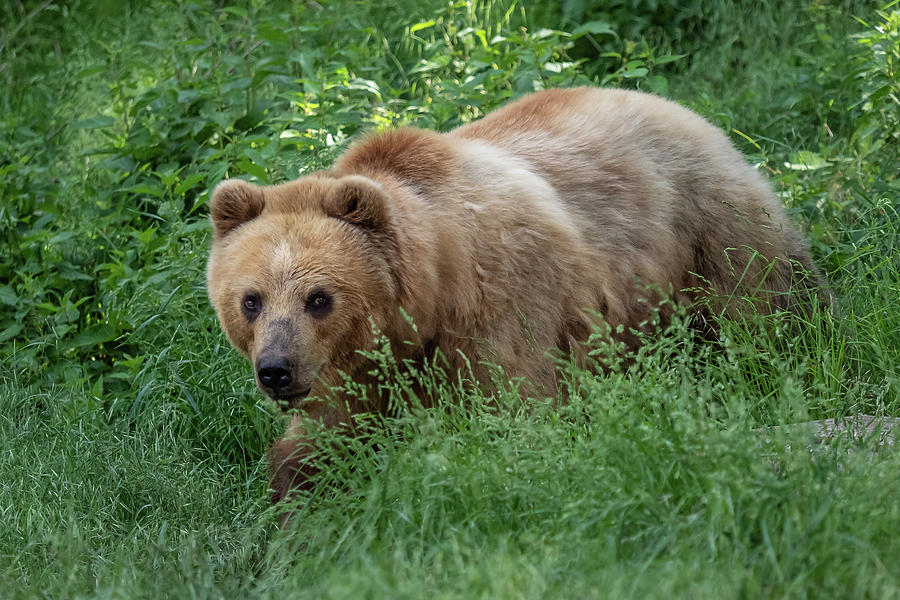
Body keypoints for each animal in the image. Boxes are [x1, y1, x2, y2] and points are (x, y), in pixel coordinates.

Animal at [206, 86, 824, 504]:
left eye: (319, 297)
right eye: (251, 299)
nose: (276, 369)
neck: (434, 291)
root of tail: (681, 107)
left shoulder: (503, 308)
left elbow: (509, 415)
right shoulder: (355, 371)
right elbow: (319, 448)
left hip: (709, 228)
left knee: (762, 307)